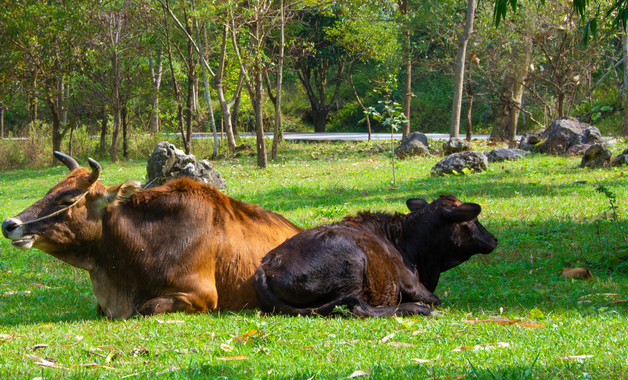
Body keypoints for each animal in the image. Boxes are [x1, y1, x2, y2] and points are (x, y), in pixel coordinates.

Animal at [253, 194, 498, 316]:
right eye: (472, 220)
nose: (494, 239)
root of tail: (265, 267)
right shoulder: (412, 284)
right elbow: (436, 299)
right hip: (353, 265)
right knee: (358, 308)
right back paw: (417, 309)